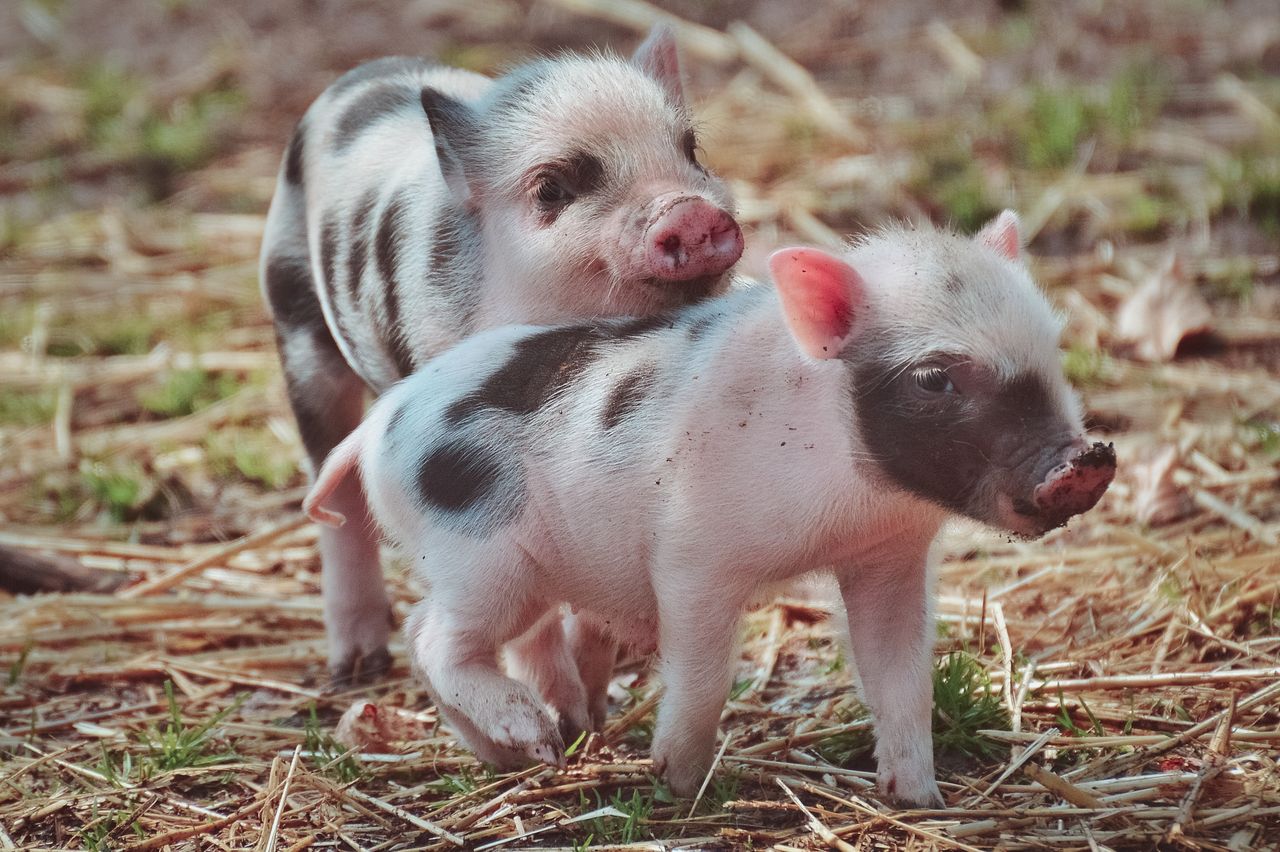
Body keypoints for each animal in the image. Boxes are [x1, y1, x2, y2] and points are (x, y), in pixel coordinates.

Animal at [258, 26, 743, 684]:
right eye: (552, 189)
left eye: (691, 149)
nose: (687, 210)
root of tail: (357, 74)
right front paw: (561, 707)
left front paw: (594, 683)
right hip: (296, 318)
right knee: (333, 490)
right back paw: (357, 668)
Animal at [302, 212, 1116, 806]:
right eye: (935, 379)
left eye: (1052, 347)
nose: (1085, 462)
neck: (852, 501)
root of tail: (378, 426)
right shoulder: (692, 556)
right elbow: (702, 674)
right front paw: (675, 785)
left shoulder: (889, 559)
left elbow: (901, 678)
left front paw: (919, 800)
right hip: (482, 557)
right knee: (434, 638)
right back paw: (536, 738)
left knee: (439, 640)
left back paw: (521, 755)